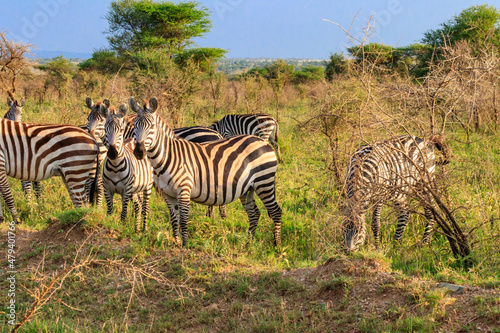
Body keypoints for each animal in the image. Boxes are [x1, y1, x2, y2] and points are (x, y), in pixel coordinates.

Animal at [98, 102, 151, 232]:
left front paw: (122, 229)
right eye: (105, 129)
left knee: (145, 207)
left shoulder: (125, 191)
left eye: (121, 130)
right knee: (138, 205)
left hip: (147, 186)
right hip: (135, 189)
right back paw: (137, 230)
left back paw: (144, 230)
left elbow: (123, 214)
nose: (112, 153)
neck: (115, 167)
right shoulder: (107, 189)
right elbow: (110, 212)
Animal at [131, 96, 284, 246]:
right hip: (248, 188)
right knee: (254, 213)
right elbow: (174, 221)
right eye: (134, 126)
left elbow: (183, 221)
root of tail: (262, 142)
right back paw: (248, 243)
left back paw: (276, 244)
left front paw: (185, 247)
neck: (168, 156)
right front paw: (176, 244)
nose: (139, 152)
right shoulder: (168, 194)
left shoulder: (184, 190)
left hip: (264, 181)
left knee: (275, 211)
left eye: (152, 126)